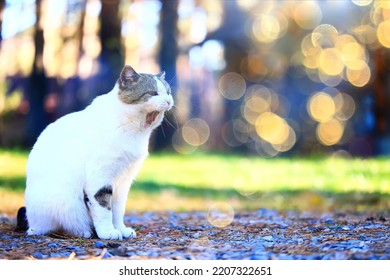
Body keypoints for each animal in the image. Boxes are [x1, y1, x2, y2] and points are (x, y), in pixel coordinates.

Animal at [16, 64, 172, 240]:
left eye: (168, 92)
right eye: (153, 93)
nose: (169, 101)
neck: (134, 130)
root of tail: (31, 222)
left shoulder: (123, 181)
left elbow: (118, 210)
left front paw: (121, 229)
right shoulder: (100, 177)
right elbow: (104, 209)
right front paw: (108, 232)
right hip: (64, 202)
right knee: (53, 226)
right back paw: (83, 231)